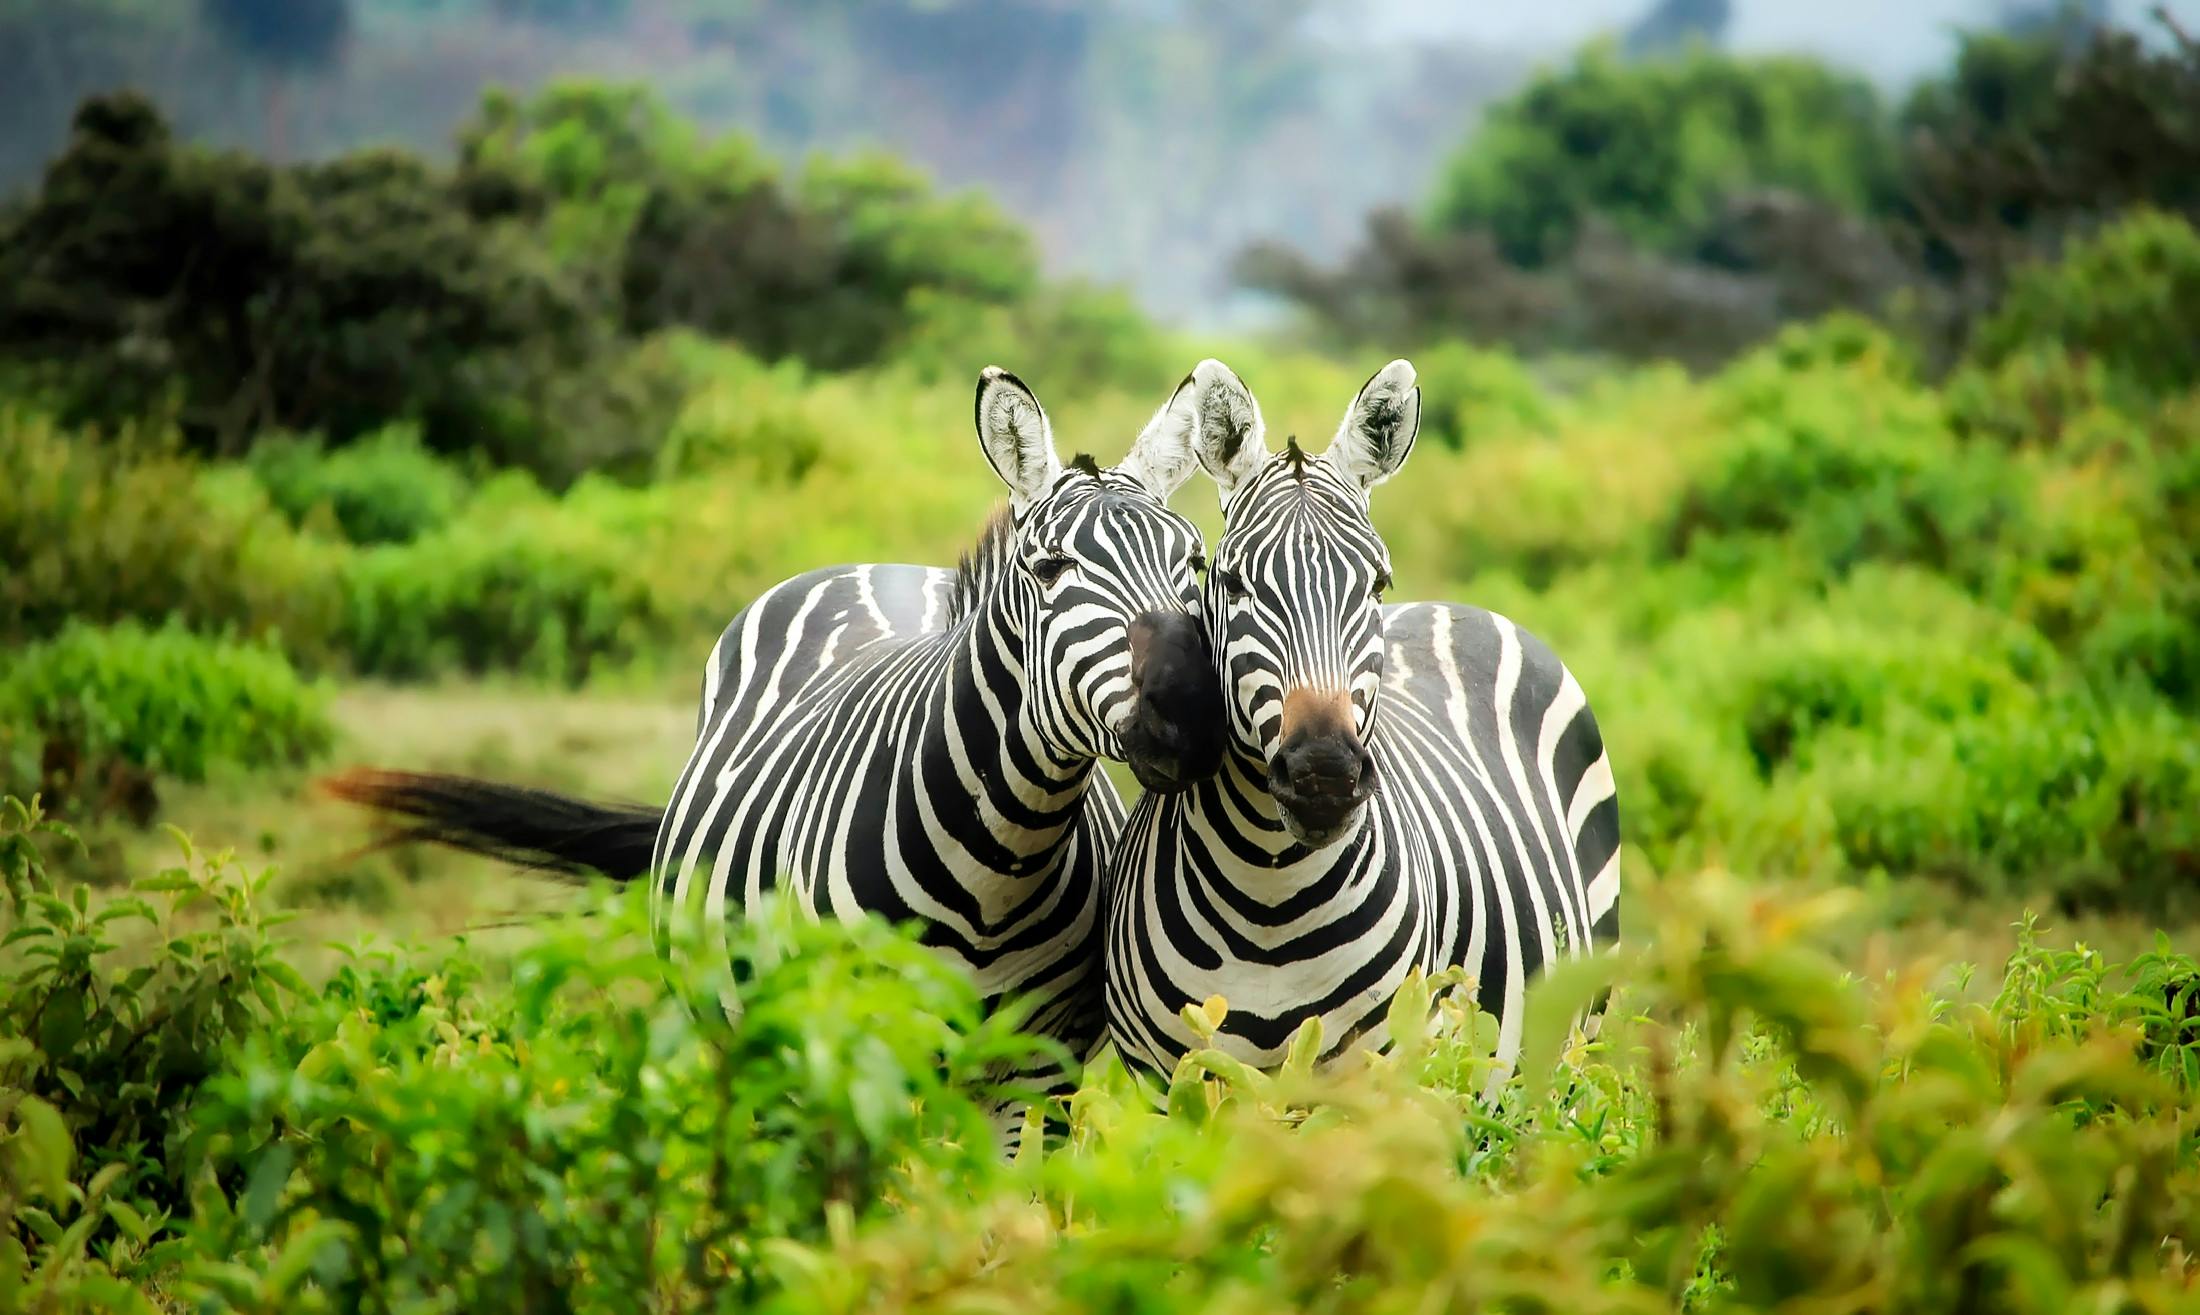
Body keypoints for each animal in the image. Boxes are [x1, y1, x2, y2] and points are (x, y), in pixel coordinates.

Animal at [323, 365, 1232, 1125]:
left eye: (1194, 561)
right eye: (1049, 570)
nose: (1190, 711)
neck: (997, 864)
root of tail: (877, 566)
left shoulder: (1036, 1073)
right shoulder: (847, 1050)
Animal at [1100, 358, 1619, 1090]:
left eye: (1376, 583)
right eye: (1231, 582)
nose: (1323, 774)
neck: (1268, 896)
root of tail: (1454, 605)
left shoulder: (1378, 1081)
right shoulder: (1169, 1083)